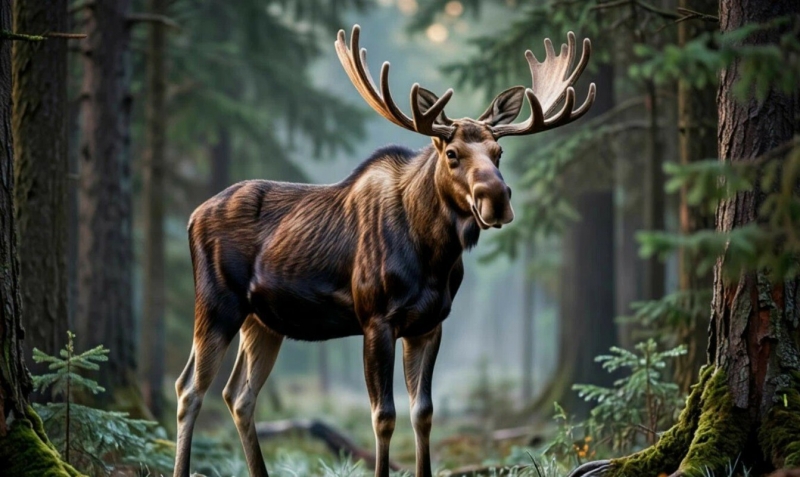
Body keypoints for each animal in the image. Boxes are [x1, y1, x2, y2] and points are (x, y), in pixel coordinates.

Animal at [173, 25, 595, 477]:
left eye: (499, 153)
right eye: (452, 153)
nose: (496, 199)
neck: (434, 257)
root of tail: (191, 217)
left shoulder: (430, 323)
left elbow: (423, 412)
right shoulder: (376, 319)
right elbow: (384, 415)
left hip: (264, 320)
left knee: (239, 395)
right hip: (217, 303)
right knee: (189, 388)